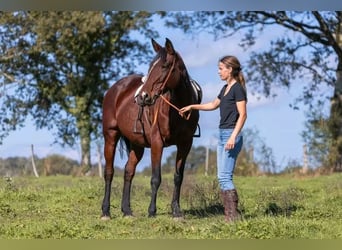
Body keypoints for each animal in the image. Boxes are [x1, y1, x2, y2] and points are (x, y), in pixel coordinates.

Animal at [100, 38, 202, 220]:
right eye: (150, 66)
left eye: (165, 66)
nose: (143, 97)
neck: (178, 109)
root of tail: (114, 89)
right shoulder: (157, 142)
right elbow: (156, 178)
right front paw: (152, 211)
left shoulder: (185, 144)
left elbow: (178, 176)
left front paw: (176, 211)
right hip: (111, 136)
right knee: (109, 172)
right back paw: (105, 211)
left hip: (137, 145)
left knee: (128, 171)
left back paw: (127, 210)